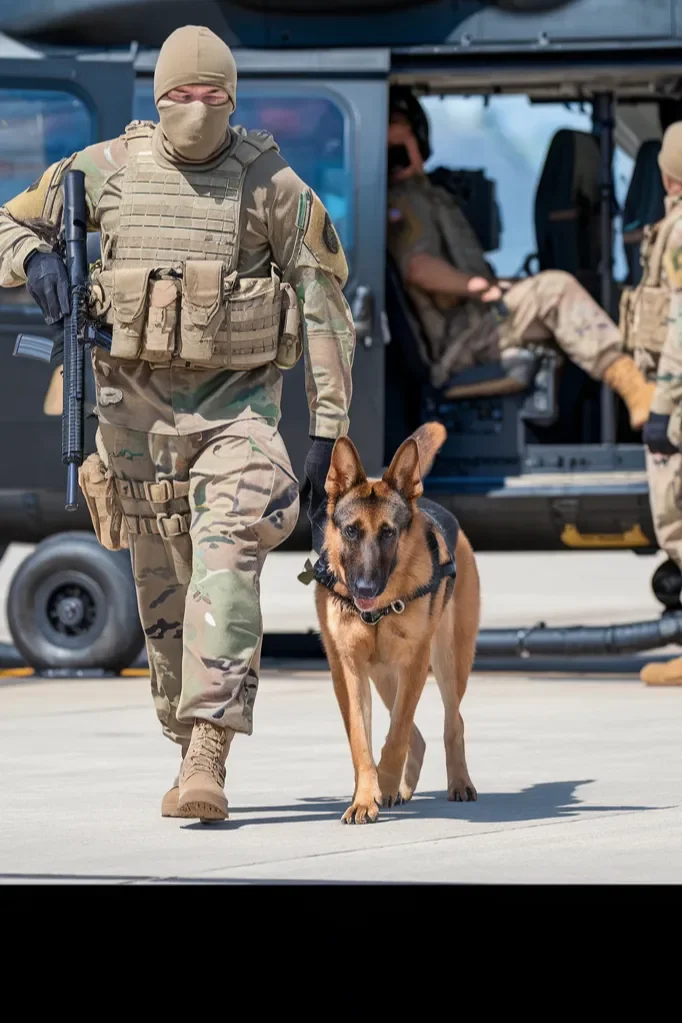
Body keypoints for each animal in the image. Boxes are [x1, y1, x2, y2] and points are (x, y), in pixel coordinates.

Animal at [314, 421, 480, 822]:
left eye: (389, 532)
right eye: (351, 531)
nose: (364, 587)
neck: (379, 609)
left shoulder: (415, 664)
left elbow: (397, 735)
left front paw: (383, 786)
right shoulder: (349, 671)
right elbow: (362, 741)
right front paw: (365, 797)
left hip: (447, 663)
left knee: (452, 722)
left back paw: (457, 783)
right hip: (382, 675)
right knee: (416, 736)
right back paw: (399, 790)